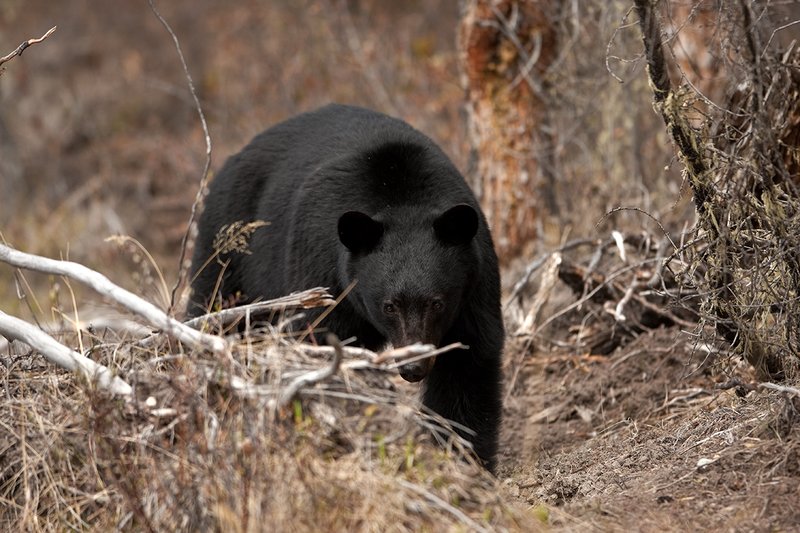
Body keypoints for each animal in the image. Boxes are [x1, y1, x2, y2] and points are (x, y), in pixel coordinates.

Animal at [187, 104, 504, 472]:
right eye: (389, 305)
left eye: (437, 303)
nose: (413, 368)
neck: (400, 196)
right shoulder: (323, 270)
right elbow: (321, 346)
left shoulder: (475, 286)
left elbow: (467, 368)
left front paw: (465, 462)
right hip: (229, 248)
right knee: (216, 307)